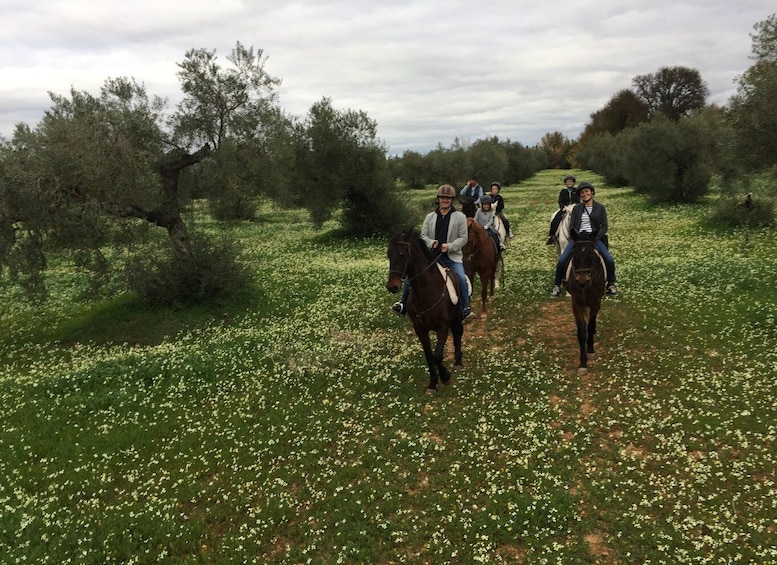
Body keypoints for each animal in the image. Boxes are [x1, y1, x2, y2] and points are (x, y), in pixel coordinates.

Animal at [384, 229, 464, 392]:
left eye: (403, 254)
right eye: (389, 255)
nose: (392, 286)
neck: (426, 291)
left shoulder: (442, 327)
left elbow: (437, 356)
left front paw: (445, 376)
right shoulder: (420, 329)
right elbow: (429, 356)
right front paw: (433, 383)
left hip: (457, 316)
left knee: (458, 332)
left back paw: (458, 361)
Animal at [564, 238, 608, 374]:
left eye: (592, 255)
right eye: (574, 254)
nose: (582, 280)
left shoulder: (596, 303)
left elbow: (591, 326)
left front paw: (591, 350)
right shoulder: (577, 304)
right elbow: (582, 332)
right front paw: (583, 363)